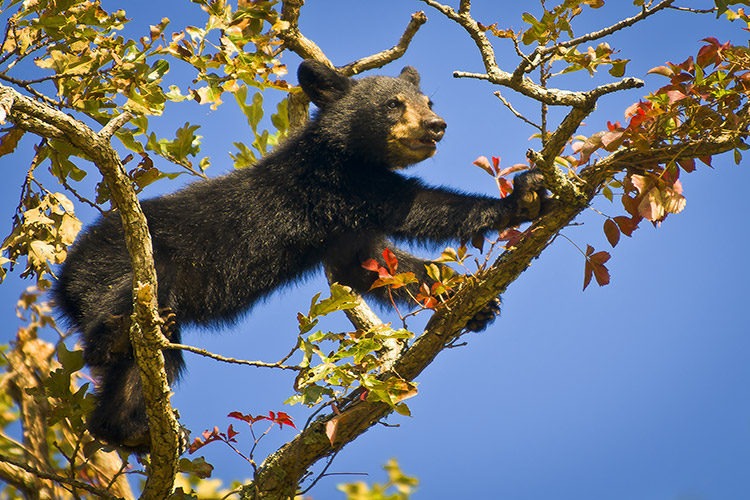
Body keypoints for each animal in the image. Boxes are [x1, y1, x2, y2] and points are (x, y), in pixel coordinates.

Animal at [53, 60, 548, 452]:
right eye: (393, 104)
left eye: (426, 100)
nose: (436, 125)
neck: (344, 152)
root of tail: (63, 280)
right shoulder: (338, 186)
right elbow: (420, 208)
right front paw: (519, 198)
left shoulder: (345, 229)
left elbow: (372, 266)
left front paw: (475, 303)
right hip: (119, 263)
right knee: (131, 307)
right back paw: (114, 336)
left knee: (147, 362)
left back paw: (127, 427)